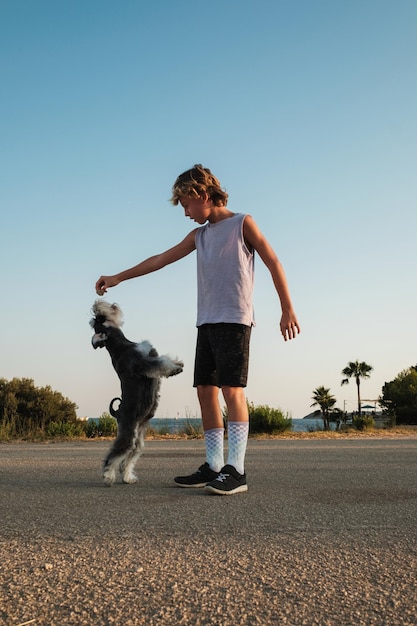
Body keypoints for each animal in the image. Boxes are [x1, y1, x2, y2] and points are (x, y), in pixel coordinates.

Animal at [90, 300, 183, 486]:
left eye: (98, 319)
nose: (96, 305)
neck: (122, 345)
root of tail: (118, 414)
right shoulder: (144, 363)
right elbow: (162, 362)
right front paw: (175, 368)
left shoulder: (150, 355)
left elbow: (164, 359)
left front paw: (178, 363)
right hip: (128, 434)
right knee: (115, 455)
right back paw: (108, 476)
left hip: (138, 440)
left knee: (128, 459)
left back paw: (128, 477)